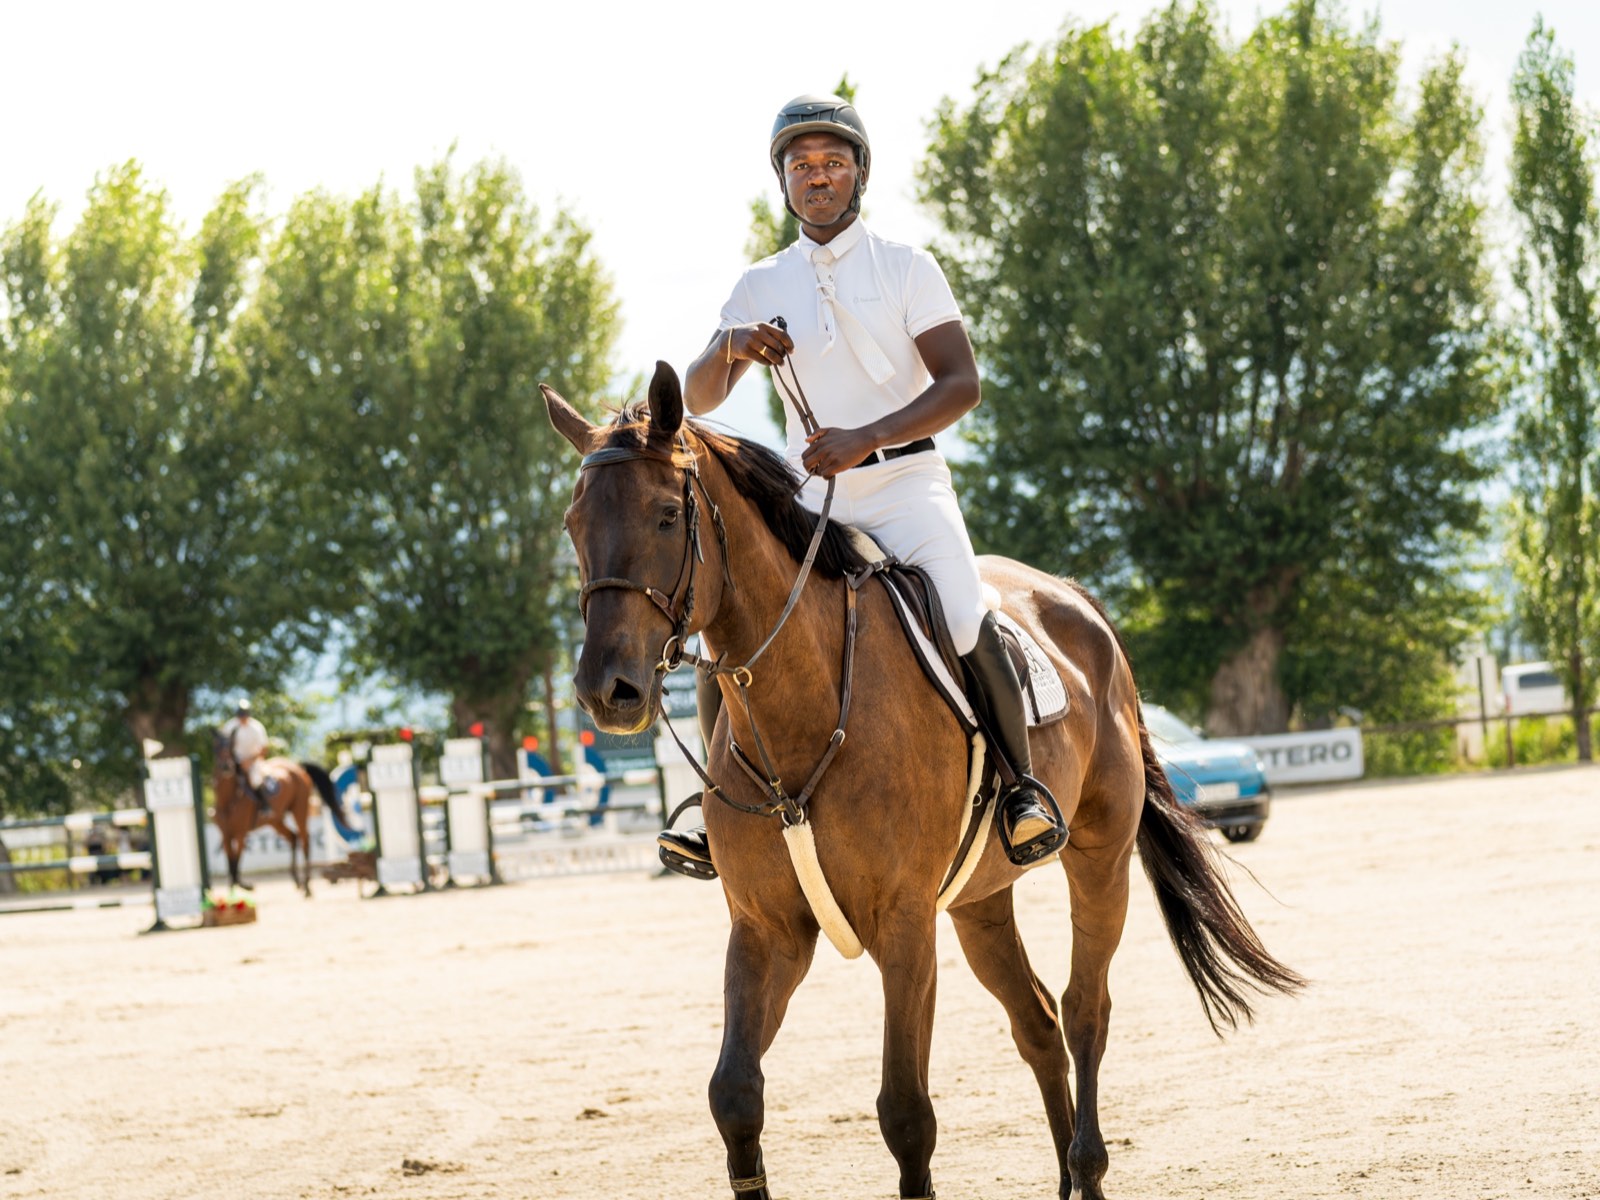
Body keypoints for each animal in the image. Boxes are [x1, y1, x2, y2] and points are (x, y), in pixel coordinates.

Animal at [212, 733, 347, 898]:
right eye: (216, 747)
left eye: (231, 747)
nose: (226, 766)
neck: (228, 799)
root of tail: (297, 766)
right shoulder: (225, 834)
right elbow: (230, 864)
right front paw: (232, 893)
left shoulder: (240, 833)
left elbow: (236, 861)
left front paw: (245, 886)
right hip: (275, 821)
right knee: (293, 837)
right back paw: (297, 881)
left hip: (299, 809)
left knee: (305, 840)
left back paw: (307, 886)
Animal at [542, 363, 1302, 1200]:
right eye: (574, 525)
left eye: (668, 515)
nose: (606, 691)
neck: (807, 705)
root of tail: (1074, 597)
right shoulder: (768, 930)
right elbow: (735, 1096)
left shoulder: (904, 926)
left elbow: (906, 1112)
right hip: (979, 900)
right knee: (1038, 1023)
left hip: (1100, 860)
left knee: (1084, 1011)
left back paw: (1088, 1166)